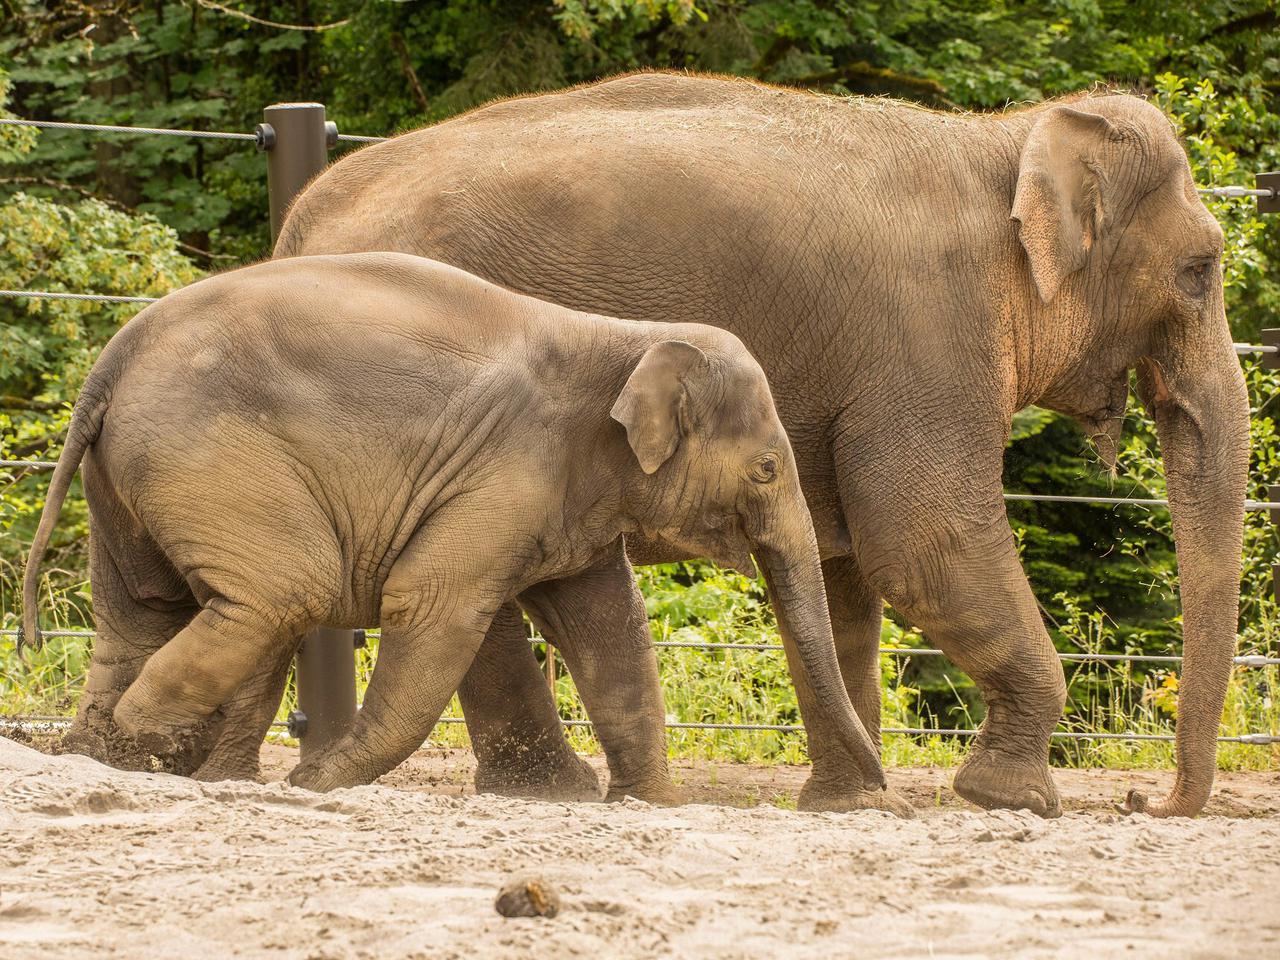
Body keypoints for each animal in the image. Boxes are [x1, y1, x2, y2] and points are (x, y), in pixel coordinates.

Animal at [20, 249, 885, 798]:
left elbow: (611, 627)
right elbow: (433, 605)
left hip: (128, 475)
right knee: (283, 592)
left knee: (148, 609)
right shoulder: (509, 471)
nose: (881, 791)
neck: (626, 336)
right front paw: (316, 783)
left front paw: (649, 806)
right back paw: (152, 745)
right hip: (208, 456)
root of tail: (113, 356)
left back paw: (114, 760)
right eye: (766, 469)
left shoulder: (567, 496)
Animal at [275, 77, 1244, 819]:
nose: (1147, 803)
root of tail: (302, 217)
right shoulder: (925, 335)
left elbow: (849, 575)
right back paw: (552, 791)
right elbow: (924, 544)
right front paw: (1015, 800)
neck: (1006, 136)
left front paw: (851, 802)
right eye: (1201, 271)